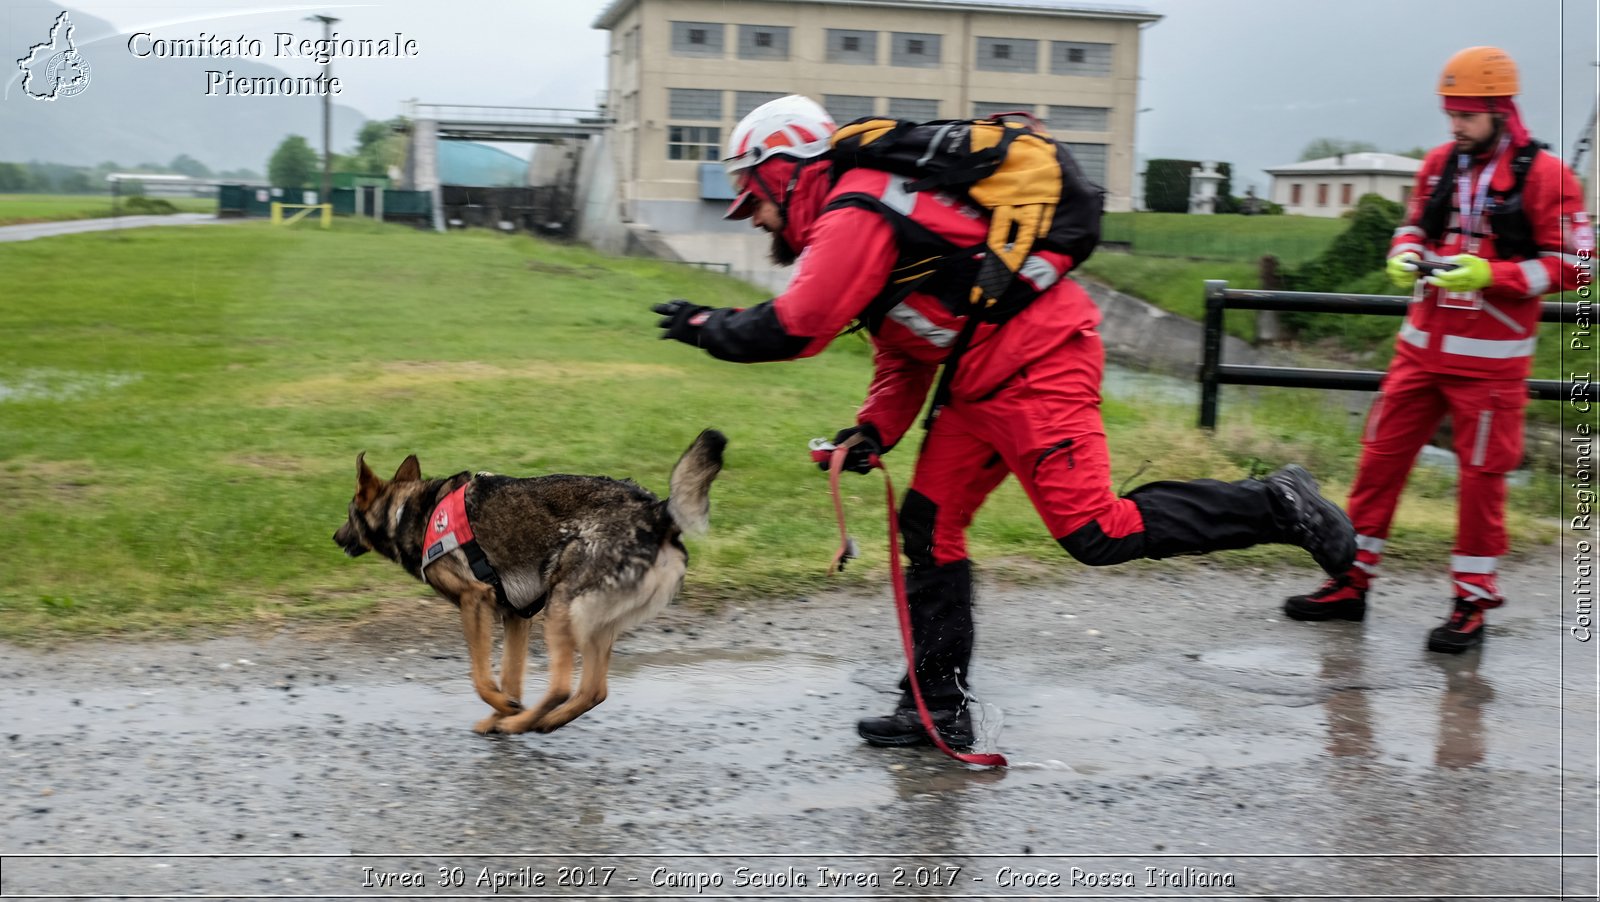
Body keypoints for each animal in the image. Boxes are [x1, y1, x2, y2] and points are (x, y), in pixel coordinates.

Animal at [334, 428, 729, 732]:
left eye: (349, 514)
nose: (335, 537)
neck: (411, 512)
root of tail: (657, 512)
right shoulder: (515, 616)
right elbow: (511, 677)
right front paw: (499, 713)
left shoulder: (475, 601)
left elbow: (481, 678)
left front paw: (504, 711)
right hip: (592, 622)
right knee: (593, 691)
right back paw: (541, 722)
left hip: (561, 608)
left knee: (562, 687)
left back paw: (520, 723)